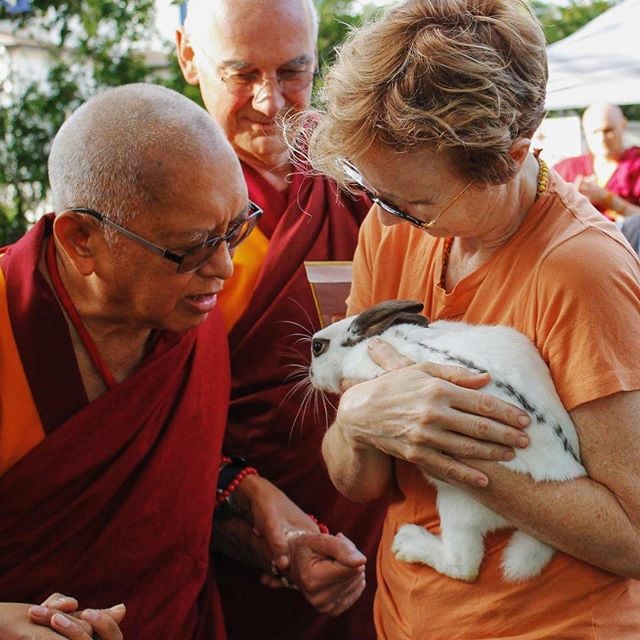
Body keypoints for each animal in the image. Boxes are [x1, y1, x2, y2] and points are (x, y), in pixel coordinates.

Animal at [308, 298, 588, 580]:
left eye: (317, 347)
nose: (310, 374)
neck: (386, 337)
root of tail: (565, 474)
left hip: (458, 502)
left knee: (464, 565)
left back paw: (407, 542)